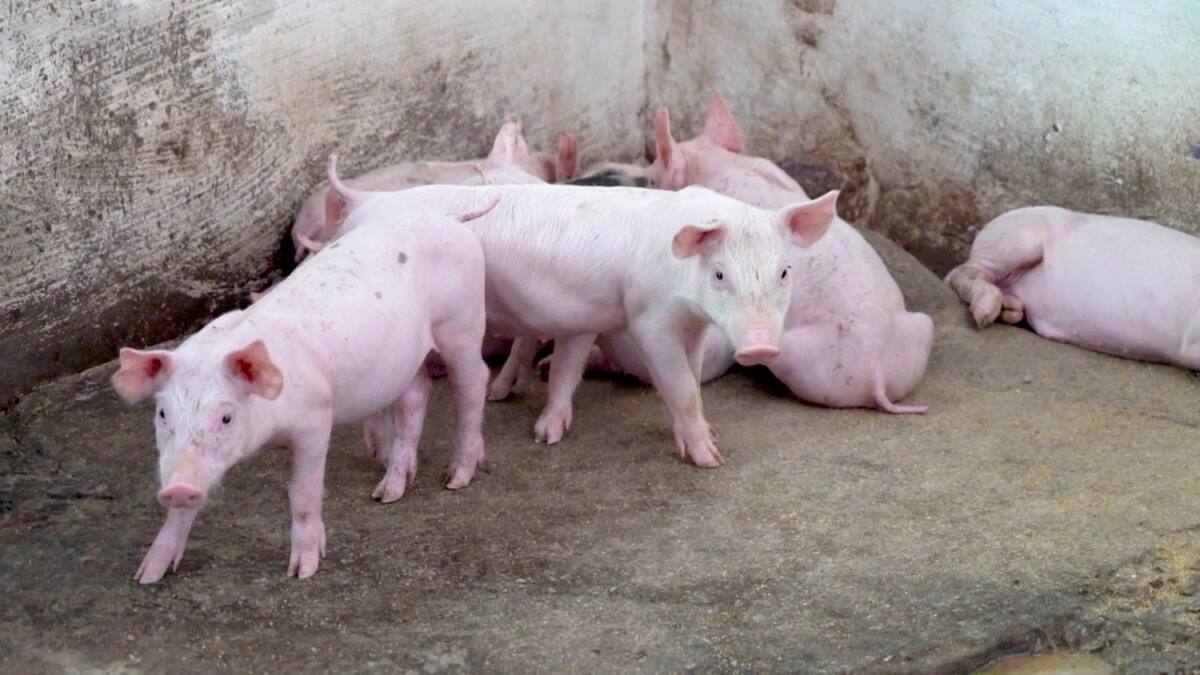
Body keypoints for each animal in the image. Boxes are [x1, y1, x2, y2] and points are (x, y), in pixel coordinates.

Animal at [112, 203, 495, 583]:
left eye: (226, 416)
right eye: (163, 413)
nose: (178, 487)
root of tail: (447, 219)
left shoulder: (315, 421)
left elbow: (303, 494)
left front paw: (302, 571)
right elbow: (180, 514)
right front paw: (147, 575)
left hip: (462, 325)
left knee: (474, 383)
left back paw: (456, 478)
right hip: (407, 358)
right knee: (415, 398)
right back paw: (387, 493)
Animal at [325, 154, 838, 466]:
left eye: (785, 271)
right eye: (719, 274)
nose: (759, 348)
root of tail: (366, 201)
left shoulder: (687, 324)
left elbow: (689, 380)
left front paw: (705, 439)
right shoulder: (649, 318)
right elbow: (679, 387)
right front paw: (711, 460)